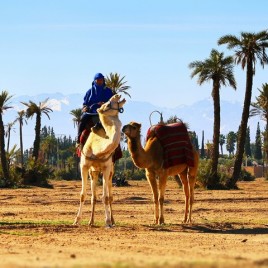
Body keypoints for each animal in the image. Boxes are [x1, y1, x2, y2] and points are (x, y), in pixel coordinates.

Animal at [73, 94, 126, 226]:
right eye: (106, 105)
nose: (117, 95)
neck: (96, 147)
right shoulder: (84, 166)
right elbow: (83, 195)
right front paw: (76, 220)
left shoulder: (107, 167)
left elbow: (106, 197)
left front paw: (108, 221)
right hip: (94, 171)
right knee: (94, 196)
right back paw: (91, 221)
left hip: (110, 170)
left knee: (109, 195)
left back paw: (112, 220)